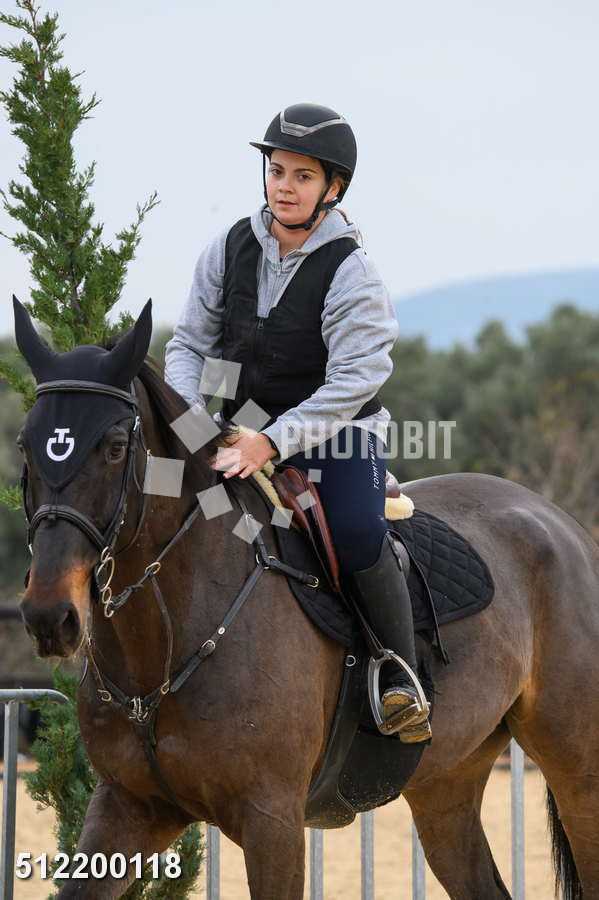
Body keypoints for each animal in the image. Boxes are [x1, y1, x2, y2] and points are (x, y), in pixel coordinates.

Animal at [14, 300, 599, 900]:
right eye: (25, 445)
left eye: (113, 448)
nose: (49, 616)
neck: (168, 638)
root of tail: (560, 521)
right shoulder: (127, 807)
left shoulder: (271, 820)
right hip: (446, 784)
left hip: (579, 775)